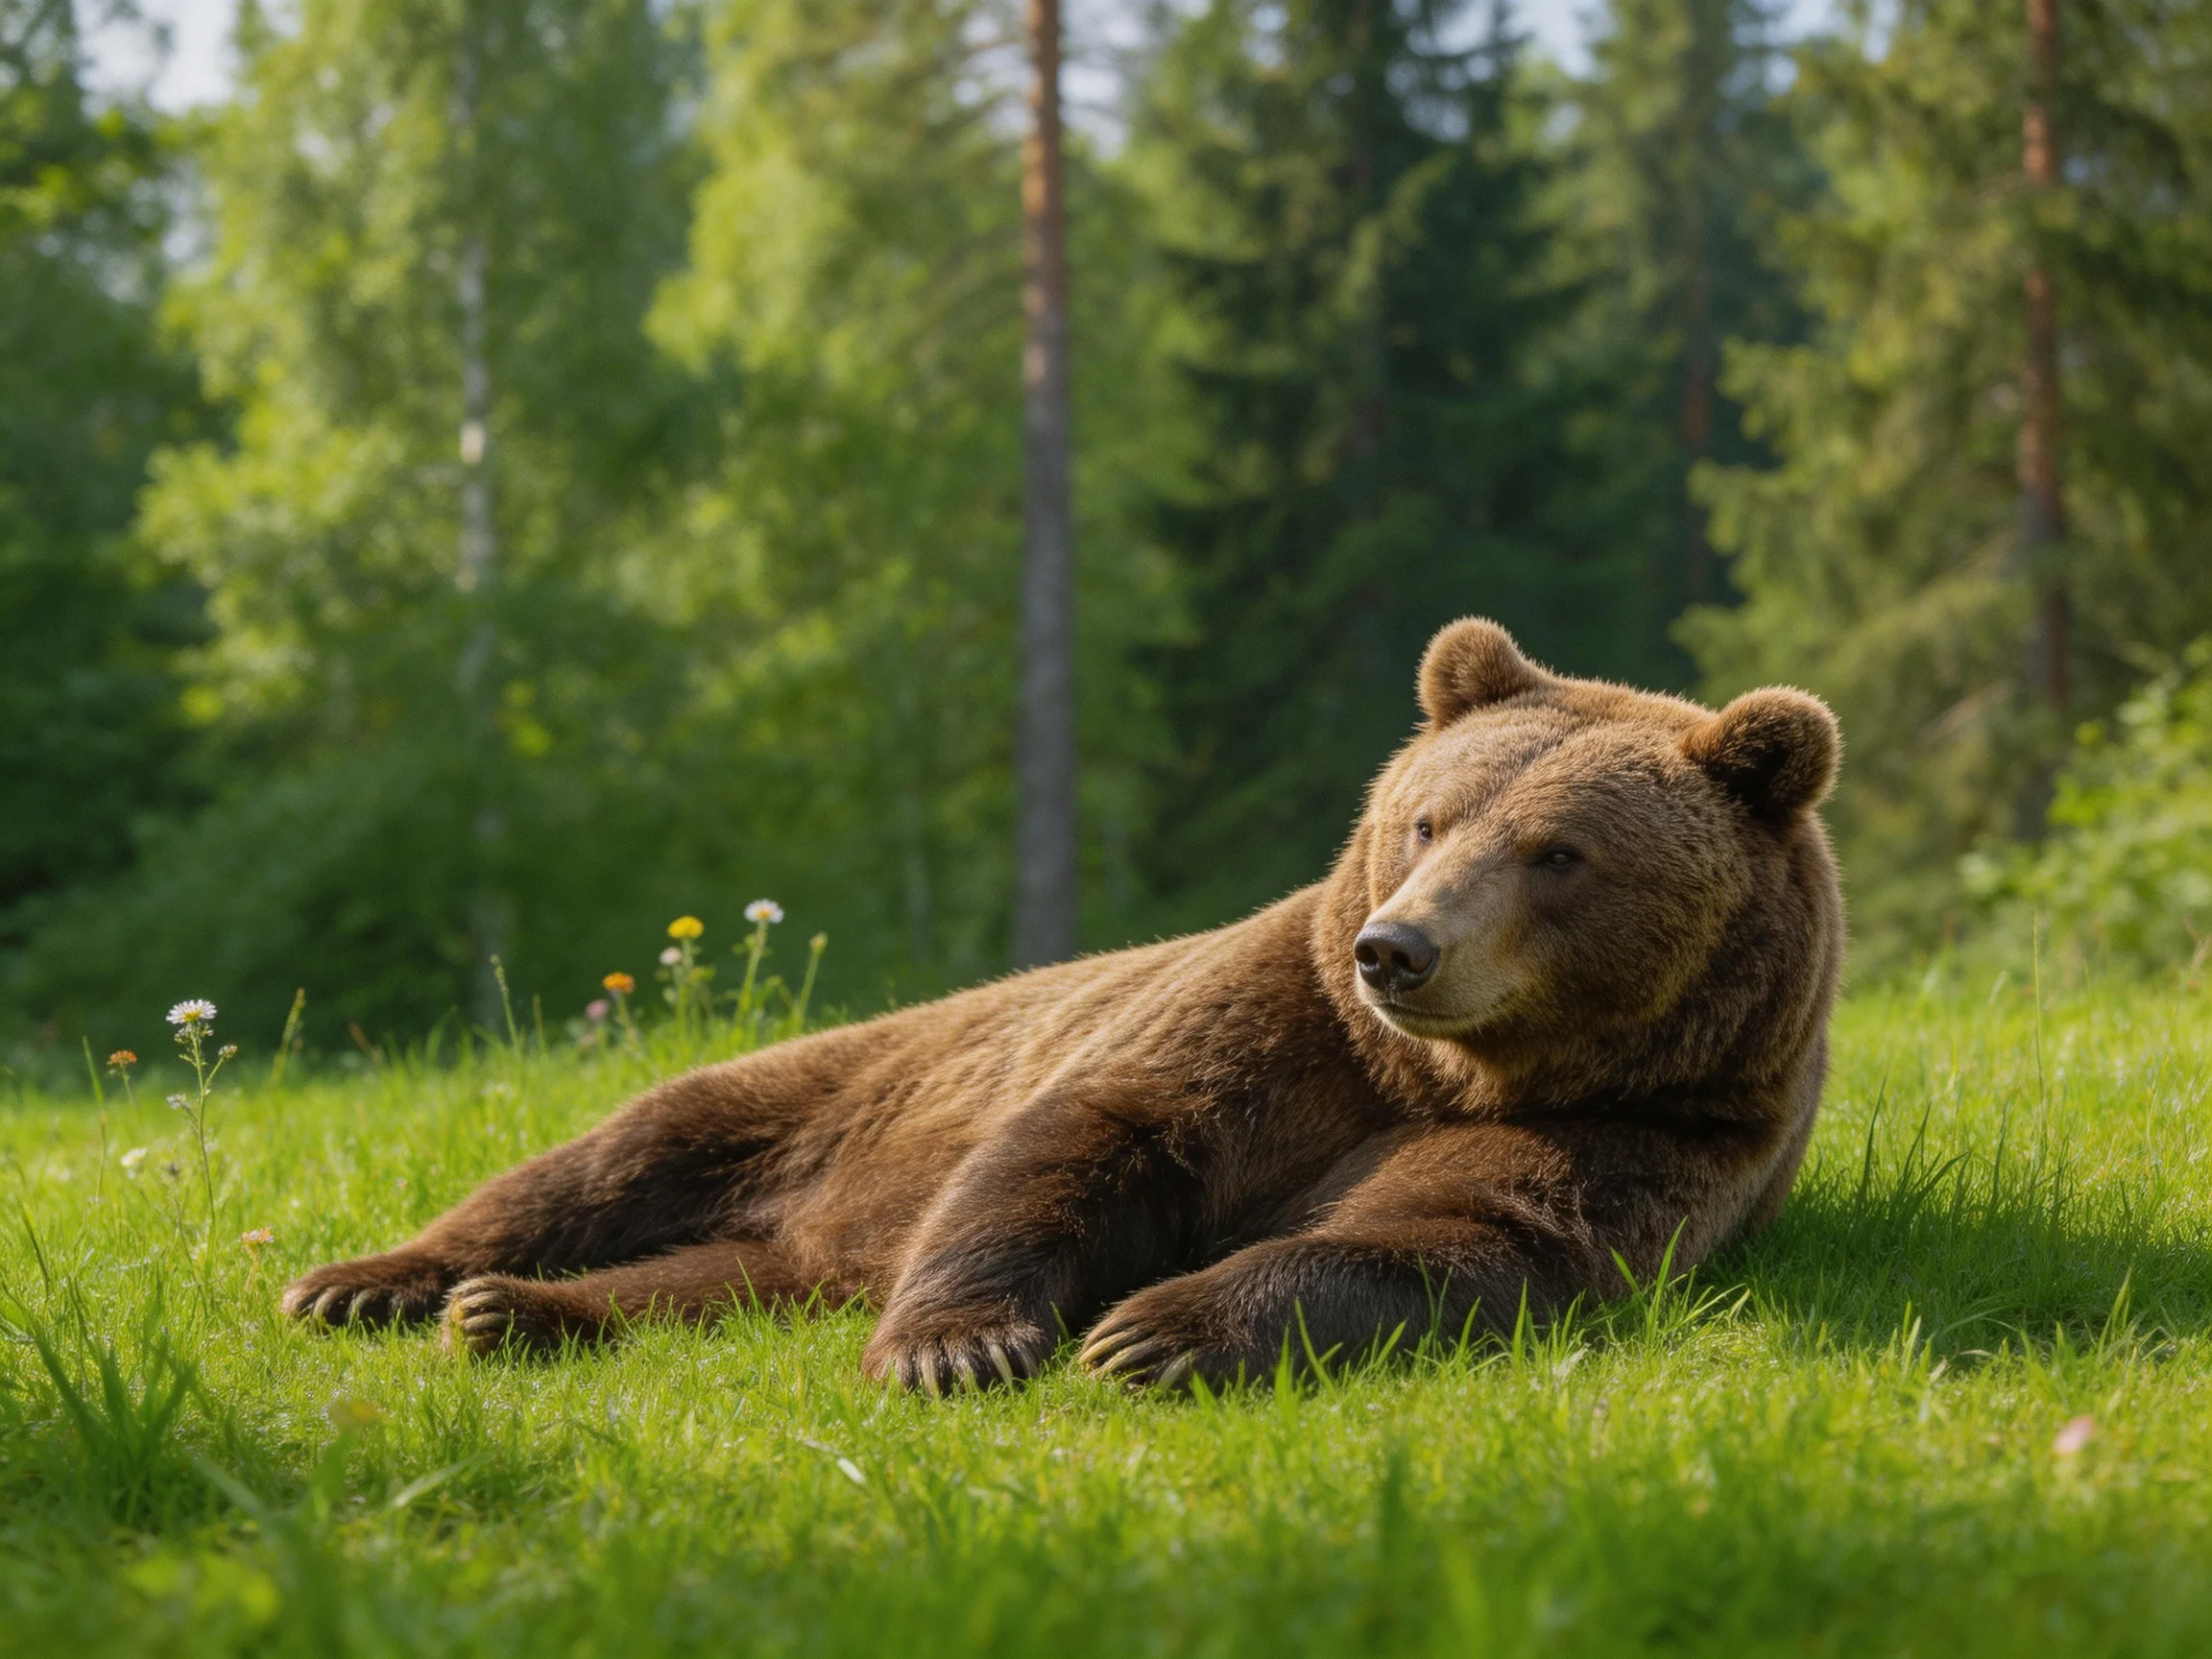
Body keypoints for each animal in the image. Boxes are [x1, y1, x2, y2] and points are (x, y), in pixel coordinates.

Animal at [283, 618, 1843, 1390]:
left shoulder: (1645, 1134)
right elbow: (1088, 1133)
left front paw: (1155, 1330)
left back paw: (512, 1317)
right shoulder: (1279, 1028)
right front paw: (962, 1344)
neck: (1444, 1073)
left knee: (701, 1284)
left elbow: (1451, 1239)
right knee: (617, 1155)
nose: (1396, 952)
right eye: (1426, 818)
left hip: (803, 1250)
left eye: (1557, 853)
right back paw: (380, 1280)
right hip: (828, 1088)